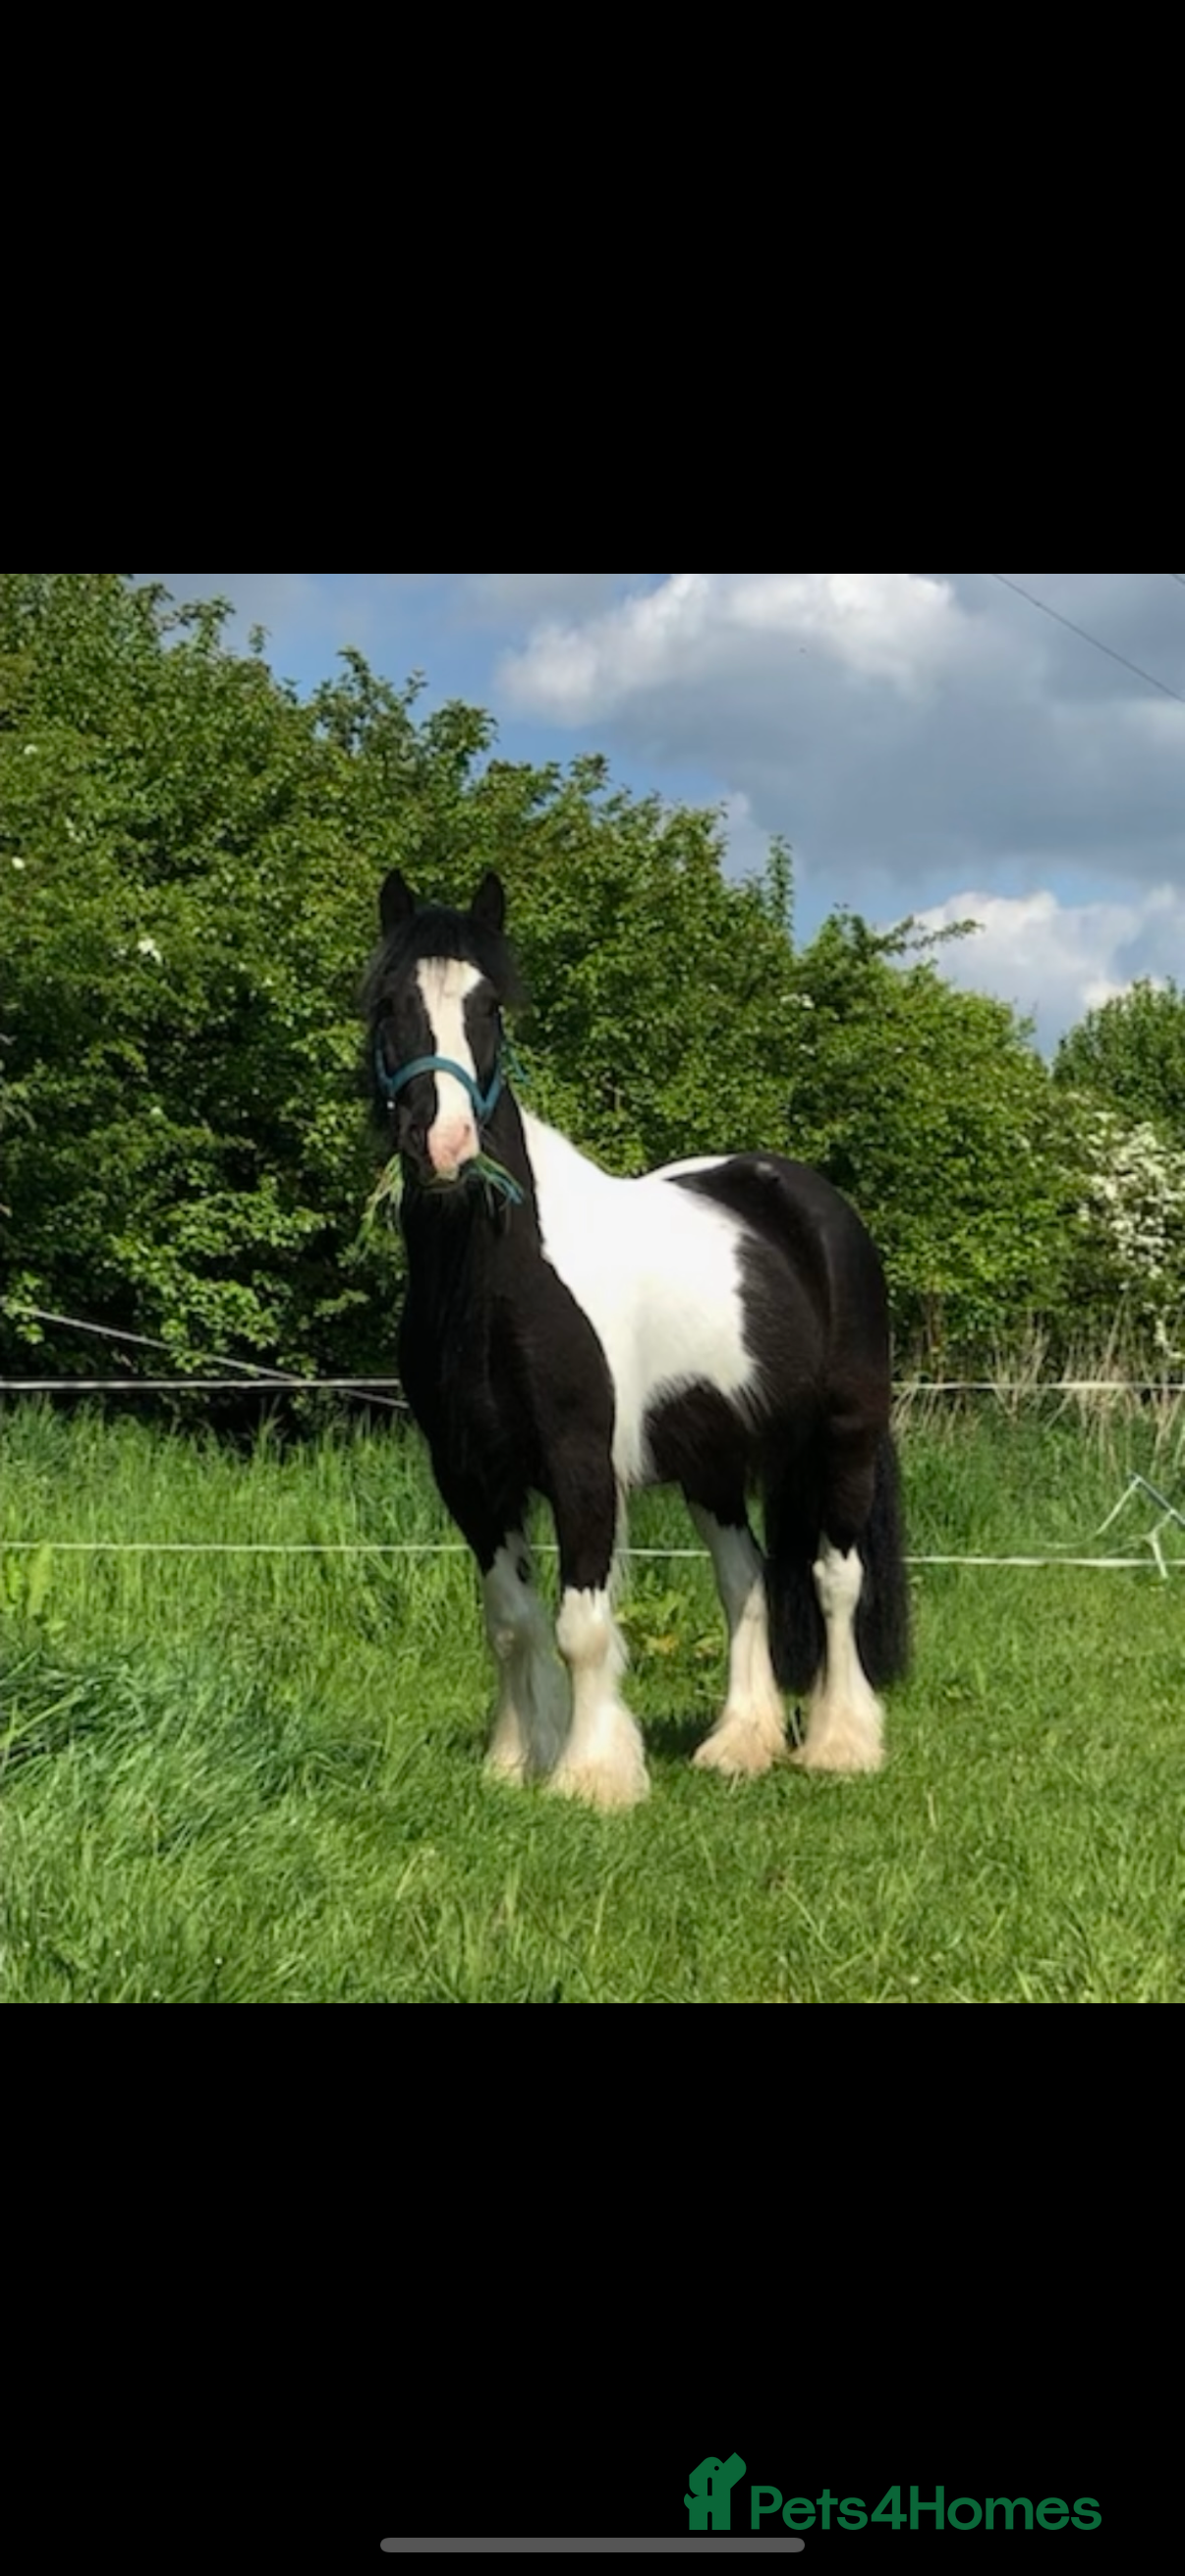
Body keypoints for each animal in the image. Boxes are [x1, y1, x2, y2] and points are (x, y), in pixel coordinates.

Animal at [364, 869, 910, 1812]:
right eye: (389, 1002)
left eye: (490, 1007)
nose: (445, 1146)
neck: (498, 1280)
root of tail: (808, 1199)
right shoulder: (470, 1476)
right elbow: (511, 1622)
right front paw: (516, 1761)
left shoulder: (580, 1463)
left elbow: (581, 1624)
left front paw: (593, 1774)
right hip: (713, 1463)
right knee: (747, 1580)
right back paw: (740, 1743)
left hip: (842, 1439)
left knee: (836, 1579)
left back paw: (840, 1742)